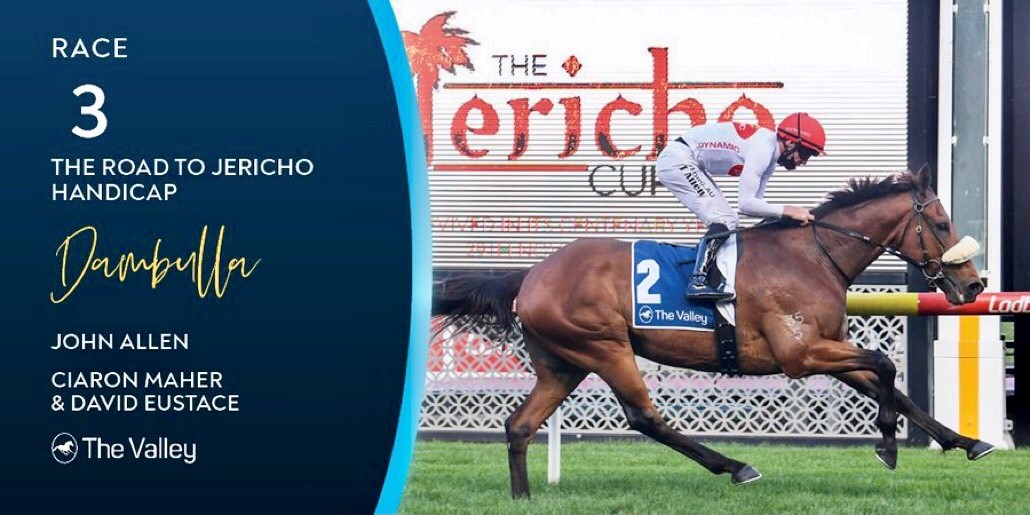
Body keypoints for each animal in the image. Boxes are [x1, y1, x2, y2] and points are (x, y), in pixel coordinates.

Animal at [435, 166, 993, 498]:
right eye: (941, 223)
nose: (974, 284)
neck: (814, 255)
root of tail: (530, 275)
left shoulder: (825, 347)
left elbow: (894, 388)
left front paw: (966, 442)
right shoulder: (801, 354)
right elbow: (885, 364)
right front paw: (889, 447)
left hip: (562, 363)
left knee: (520, 425)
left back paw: (523, 496)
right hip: (603, 346)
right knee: (644, 417)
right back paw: (735, 466)